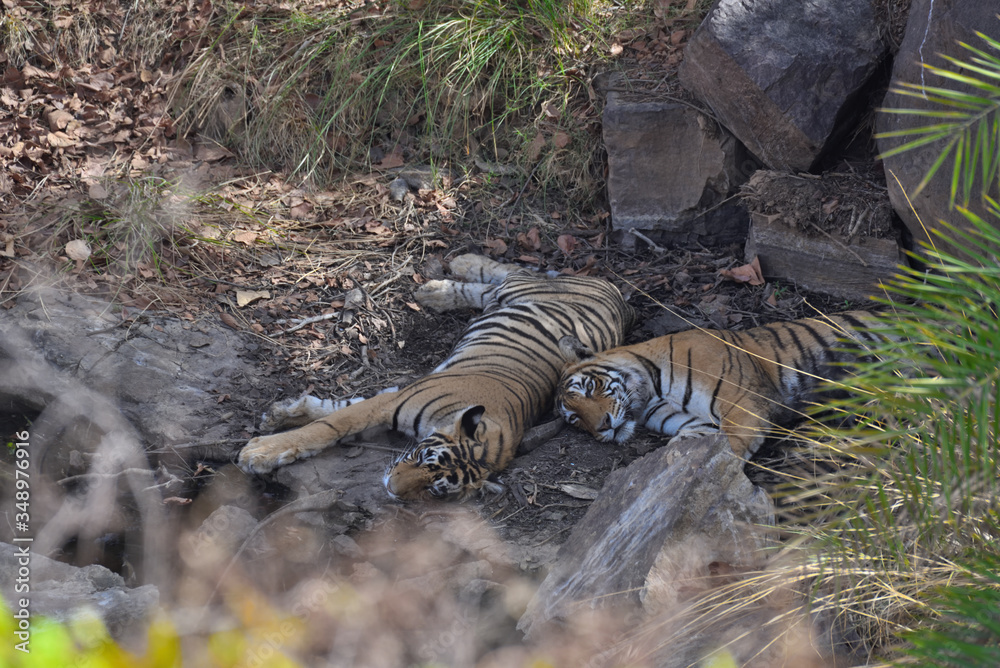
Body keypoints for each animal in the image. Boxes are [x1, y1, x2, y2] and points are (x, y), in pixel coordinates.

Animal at [237, 254, 635, 501]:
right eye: (423, 460)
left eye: (435, 488)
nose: (391, 489)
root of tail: (618, 293)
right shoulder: (390, 401)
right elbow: (328, 425)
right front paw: (262, 449)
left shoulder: (388, 401)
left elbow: (336, 410)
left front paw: (281, 416)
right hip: (524, 288)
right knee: (512, 272)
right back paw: (454, 270)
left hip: (505, 298)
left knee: (486, 289)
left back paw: (435, 291)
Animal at [555, 311, 885, 458]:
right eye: (574, 419)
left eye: (588, 388)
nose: (602, 428)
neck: (652, 391)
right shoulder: (698, 424)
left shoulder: (742, 405)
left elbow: (729, 449)